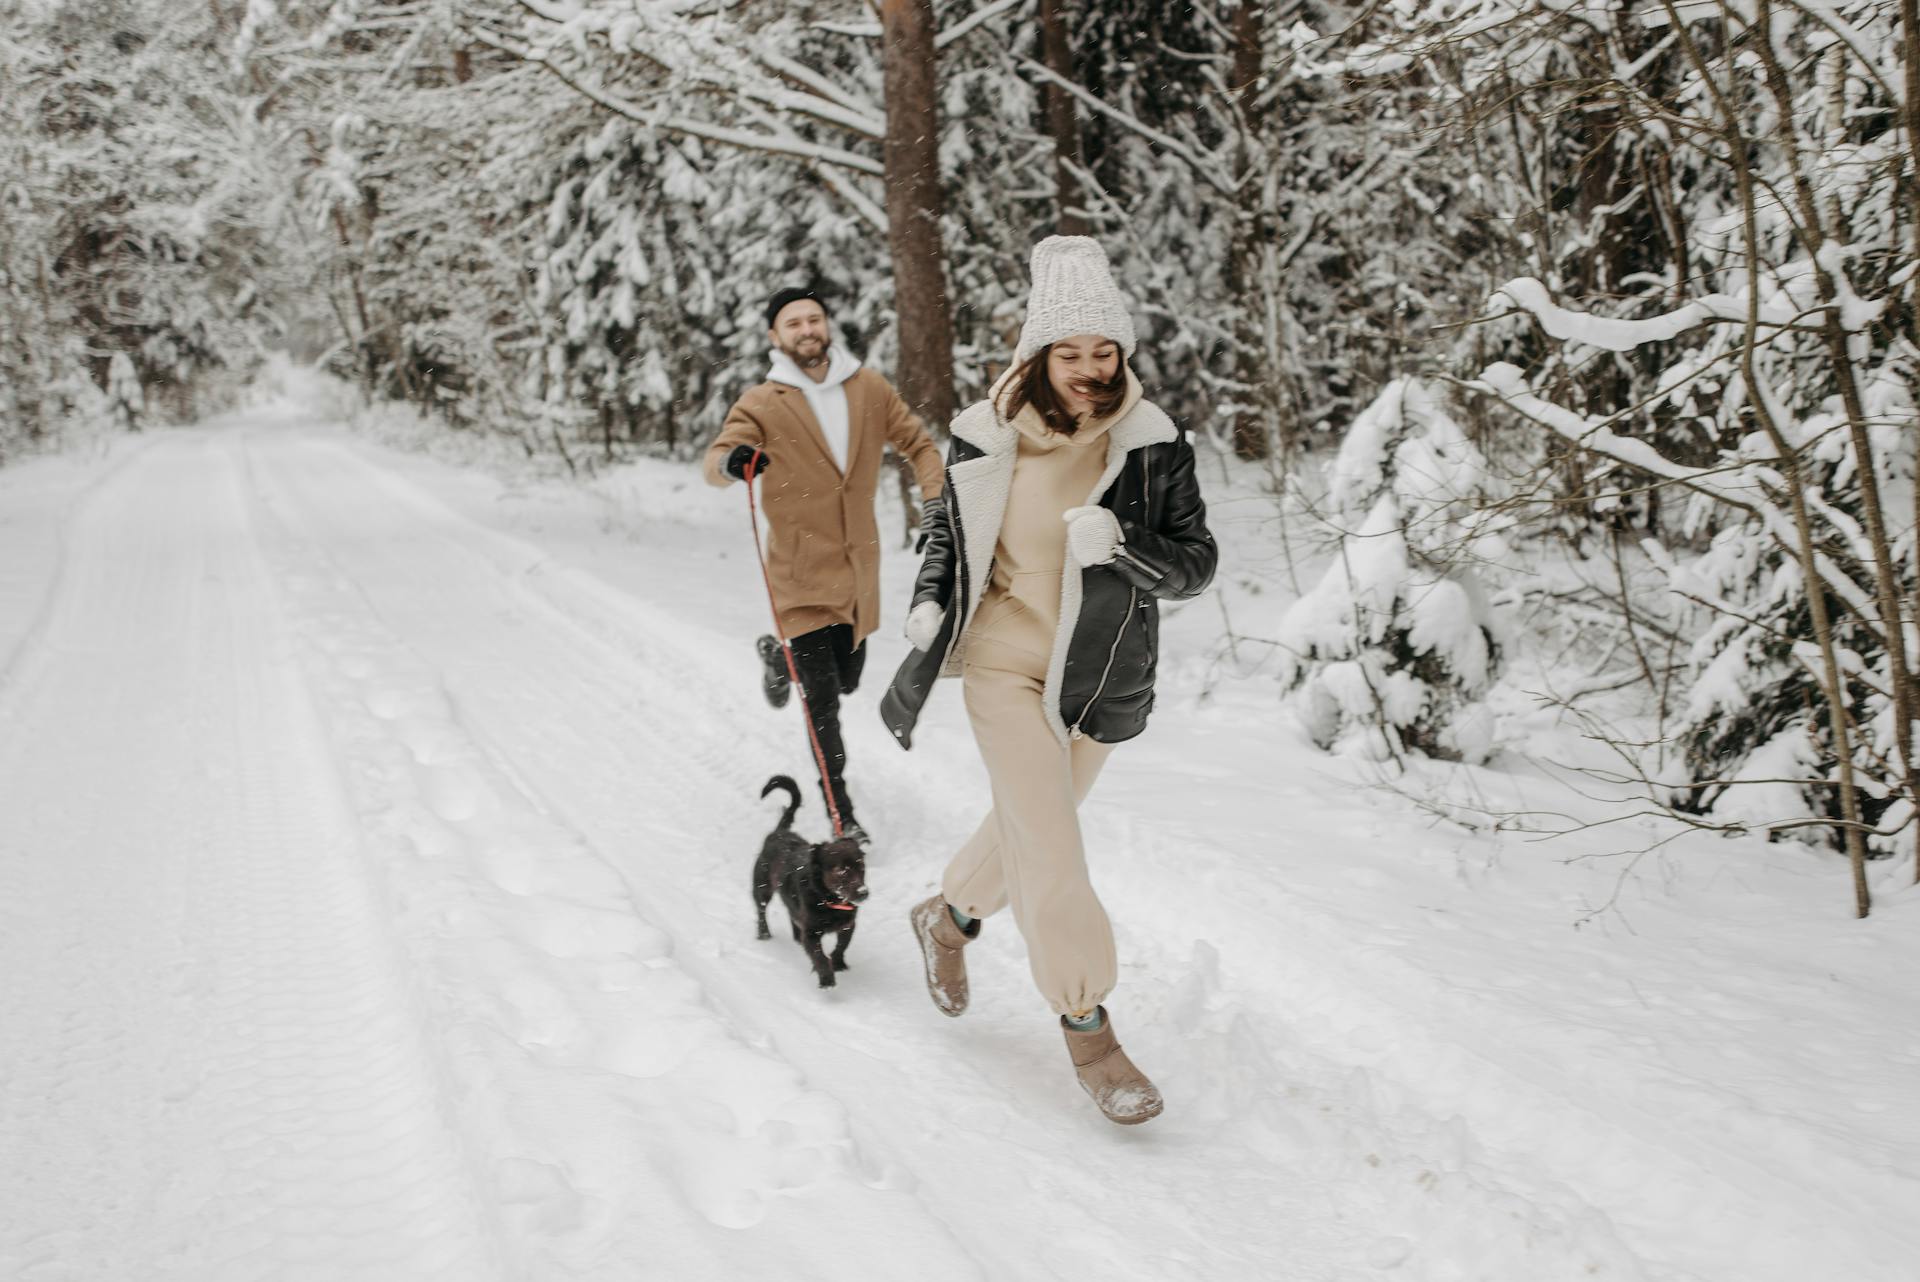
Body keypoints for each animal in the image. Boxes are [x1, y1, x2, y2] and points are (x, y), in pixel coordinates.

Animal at [748, 775, 871, 990]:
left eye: (861, 866)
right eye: (841, 869)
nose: (863, 893)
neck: (830, 901)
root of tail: (779, 831)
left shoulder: (848, 924)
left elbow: (842, 945)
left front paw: (838, 963)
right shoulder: (812, 933)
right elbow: (819, 956)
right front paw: (827, 978)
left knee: (792, 915)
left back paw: (796, 937)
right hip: (762, 887)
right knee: (761, 910)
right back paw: (764, 934)